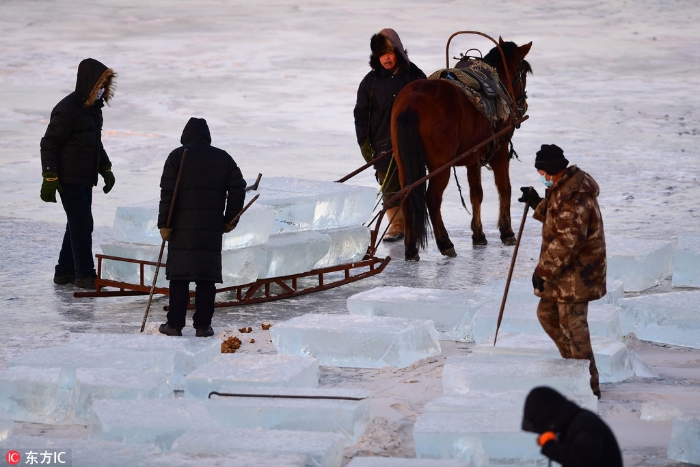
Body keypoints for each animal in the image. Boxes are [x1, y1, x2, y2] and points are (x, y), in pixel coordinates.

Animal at [392, 38, 532, 262]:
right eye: (524, 71)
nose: (523, 104)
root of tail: (413, 100)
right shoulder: (500, 152)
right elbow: (505, 188)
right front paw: (507, 231)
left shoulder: (473, 158)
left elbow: (476, 193)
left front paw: (479, 234)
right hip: (440, 165)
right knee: (432, 199)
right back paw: (445, 243)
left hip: (403, 161)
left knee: (407, 196)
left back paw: (411, 248)